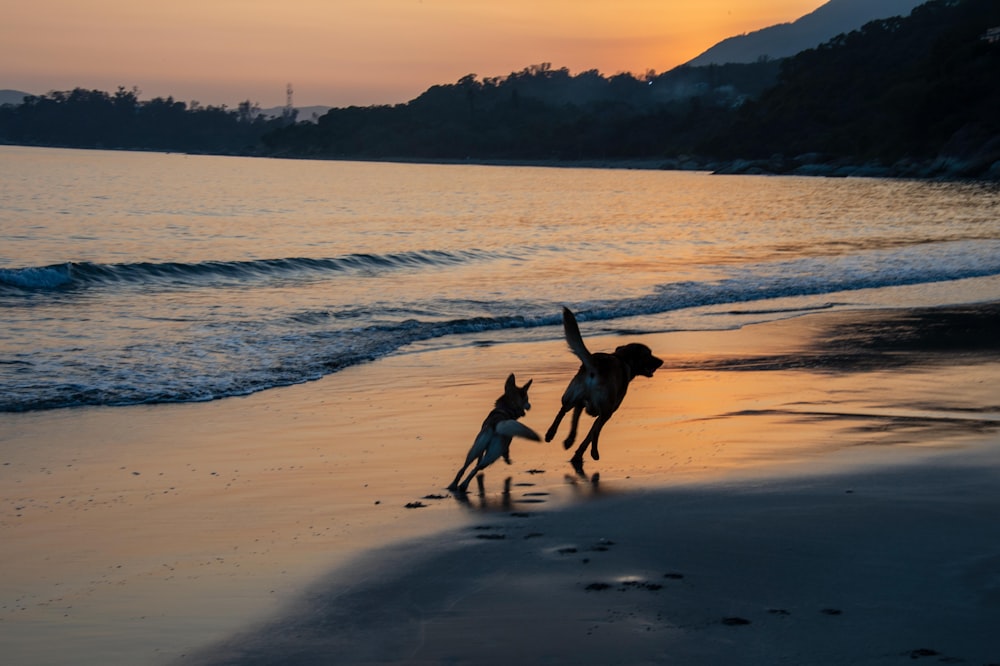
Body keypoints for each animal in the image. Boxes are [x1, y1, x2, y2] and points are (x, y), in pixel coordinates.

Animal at [544, 306, 660, 462]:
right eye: (649, 354)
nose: (661, 362)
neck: (623, 359)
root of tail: (595, 365)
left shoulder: (581, 404)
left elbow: (576, 423)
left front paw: (571, 442)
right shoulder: (604, 412)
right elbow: (592, 433)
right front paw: (581, 450)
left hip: (573, 394)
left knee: (563, 410)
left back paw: (553, 434)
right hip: (606, 411)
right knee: (594, 430)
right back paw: (590, 452)